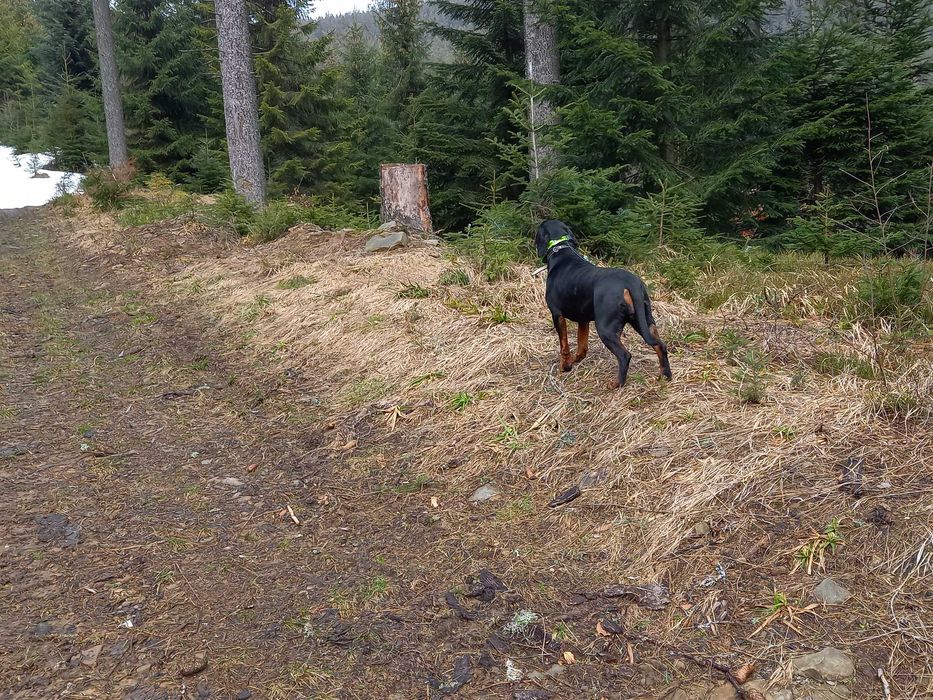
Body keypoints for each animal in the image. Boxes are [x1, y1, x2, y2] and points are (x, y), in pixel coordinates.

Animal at [536, 220, 672, 388]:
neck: (560, 249)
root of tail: (631, 283)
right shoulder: (583, 320)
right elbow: (582, 347)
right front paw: (575, 360)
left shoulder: (557, 315)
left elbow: (564, 345)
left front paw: (565, 366)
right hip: (644, 320)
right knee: (660, 345)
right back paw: (665, 376)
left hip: (605, 327)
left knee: (624, 355)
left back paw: (617, 383)